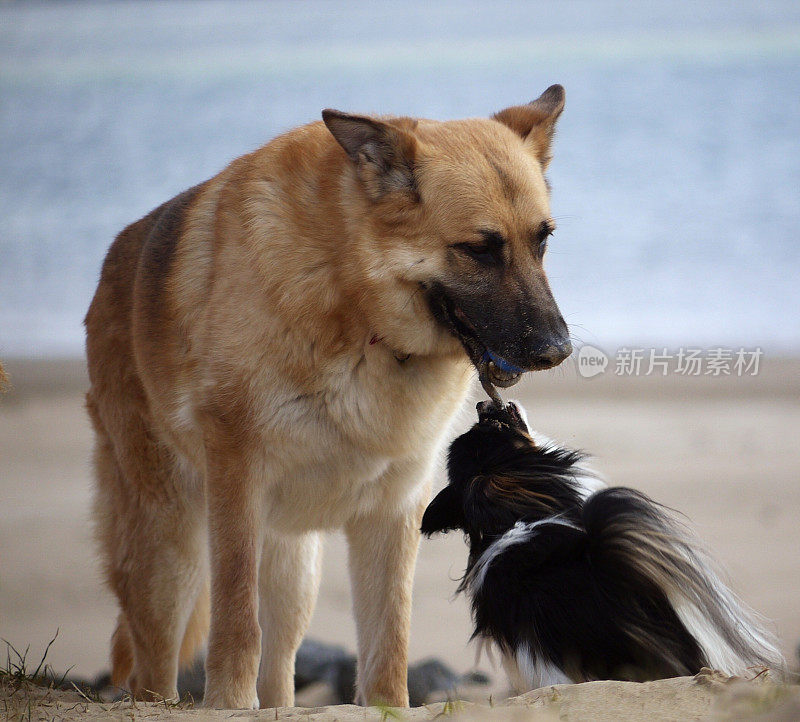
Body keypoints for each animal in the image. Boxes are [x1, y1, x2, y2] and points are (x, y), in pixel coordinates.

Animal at [84, 86, 572, 708]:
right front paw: (228, 703)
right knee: (156, 665)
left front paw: (388, 707)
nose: (558, 350)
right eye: (480, 249)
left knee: (280, 669)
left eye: (542, 240)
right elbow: (236, 617)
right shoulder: (236, 486)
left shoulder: (394, 511)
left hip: (294, 573)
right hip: (172, 553)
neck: (355, 304)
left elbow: (388, 640)